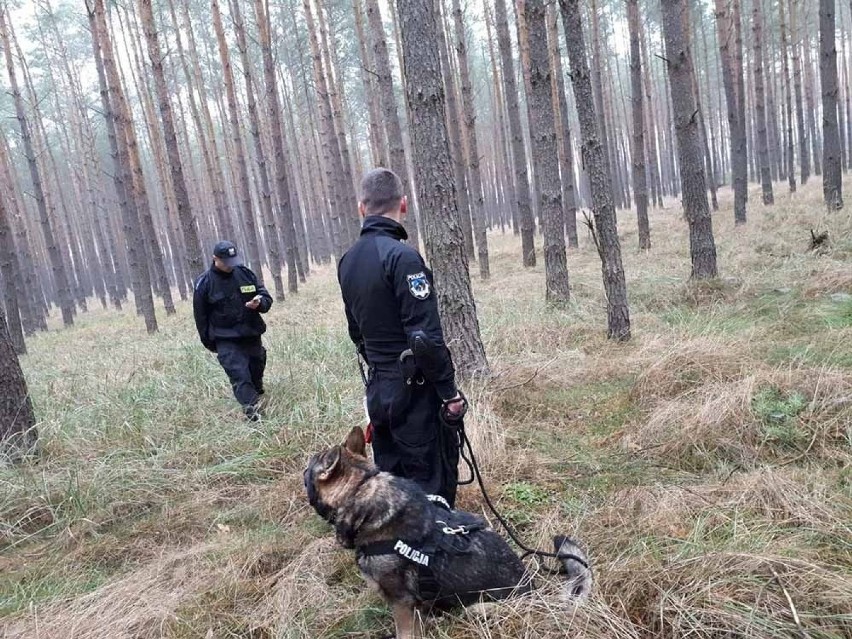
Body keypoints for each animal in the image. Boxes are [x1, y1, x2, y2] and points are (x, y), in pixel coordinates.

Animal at [304, 424, 592, 639]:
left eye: (308, 469)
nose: (303, 468)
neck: (361, 490)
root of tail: (535, 592)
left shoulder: (401, 603)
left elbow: (405, 632)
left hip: (477, 609)